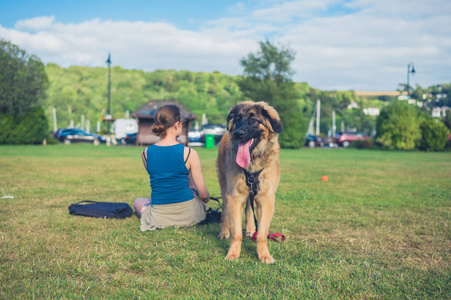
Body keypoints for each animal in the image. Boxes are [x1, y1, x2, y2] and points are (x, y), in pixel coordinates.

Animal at [217, 100, 284, 262]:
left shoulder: (266, 199)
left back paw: (250, 229)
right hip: (225, 188)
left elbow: (262, 233)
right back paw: (224, 232)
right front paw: (233, 253)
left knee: (249, 208)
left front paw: (264, 255)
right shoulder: (234, 197)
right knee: (224, 212)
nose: (237, 133)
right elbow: (236, 232)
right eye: (237, 119)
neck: (252, 163)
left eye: (253, 120)